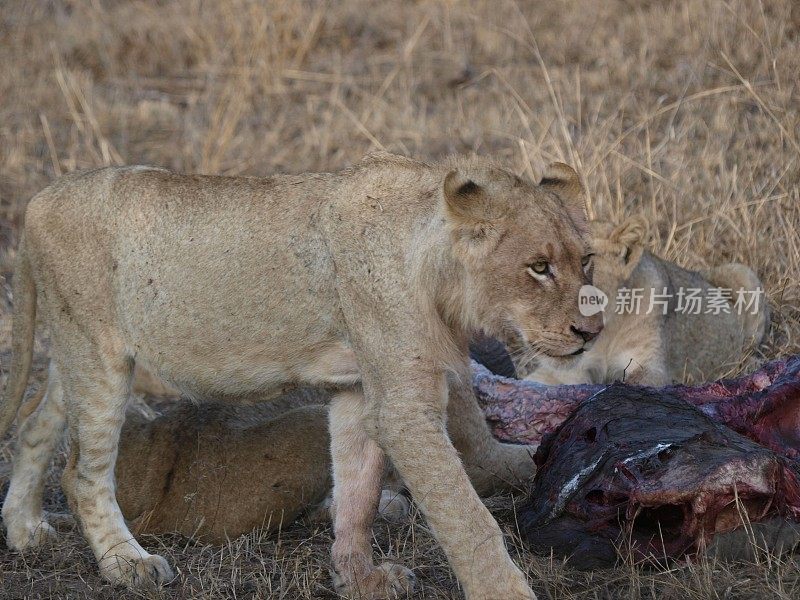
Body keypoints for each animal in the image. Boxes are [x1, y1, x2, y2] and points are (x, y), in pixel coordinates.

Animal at [0, 156, 600, 600]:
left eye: (586, 260)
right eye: (538, 266)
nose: (590, 330)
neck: (434, 264)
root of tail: (38, 201)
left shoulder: (357, 389)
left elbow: (357, 491)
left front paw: (360, 578)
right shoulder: (403, 408)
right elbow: (467, 518)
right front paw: (506, 591)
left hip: (76, 350)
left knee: (33, 424)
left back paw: (23, 529)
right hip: (99, 354)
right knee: (83, 471)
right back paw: (126, 563)